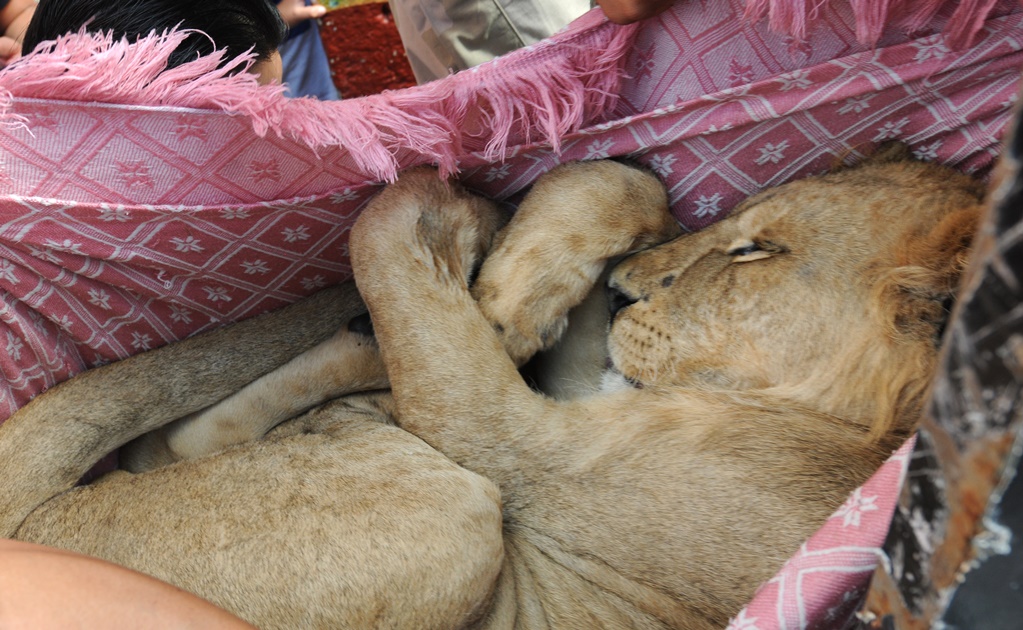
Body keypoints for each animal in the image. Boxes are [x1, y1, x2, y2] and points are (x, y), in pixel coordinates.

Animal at [0, 144, 977, 630]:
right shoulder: (589, 386)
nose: (624, 288)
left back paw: (453, 222)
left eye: (757, 252)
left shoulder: (524, 446)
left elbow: (393, 248)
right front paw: (527, 285)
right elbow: (623, 189)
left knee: (376, 238)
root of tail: (40, 529)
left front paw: (499, 288)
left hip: (447, 518)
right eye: (738, 231)